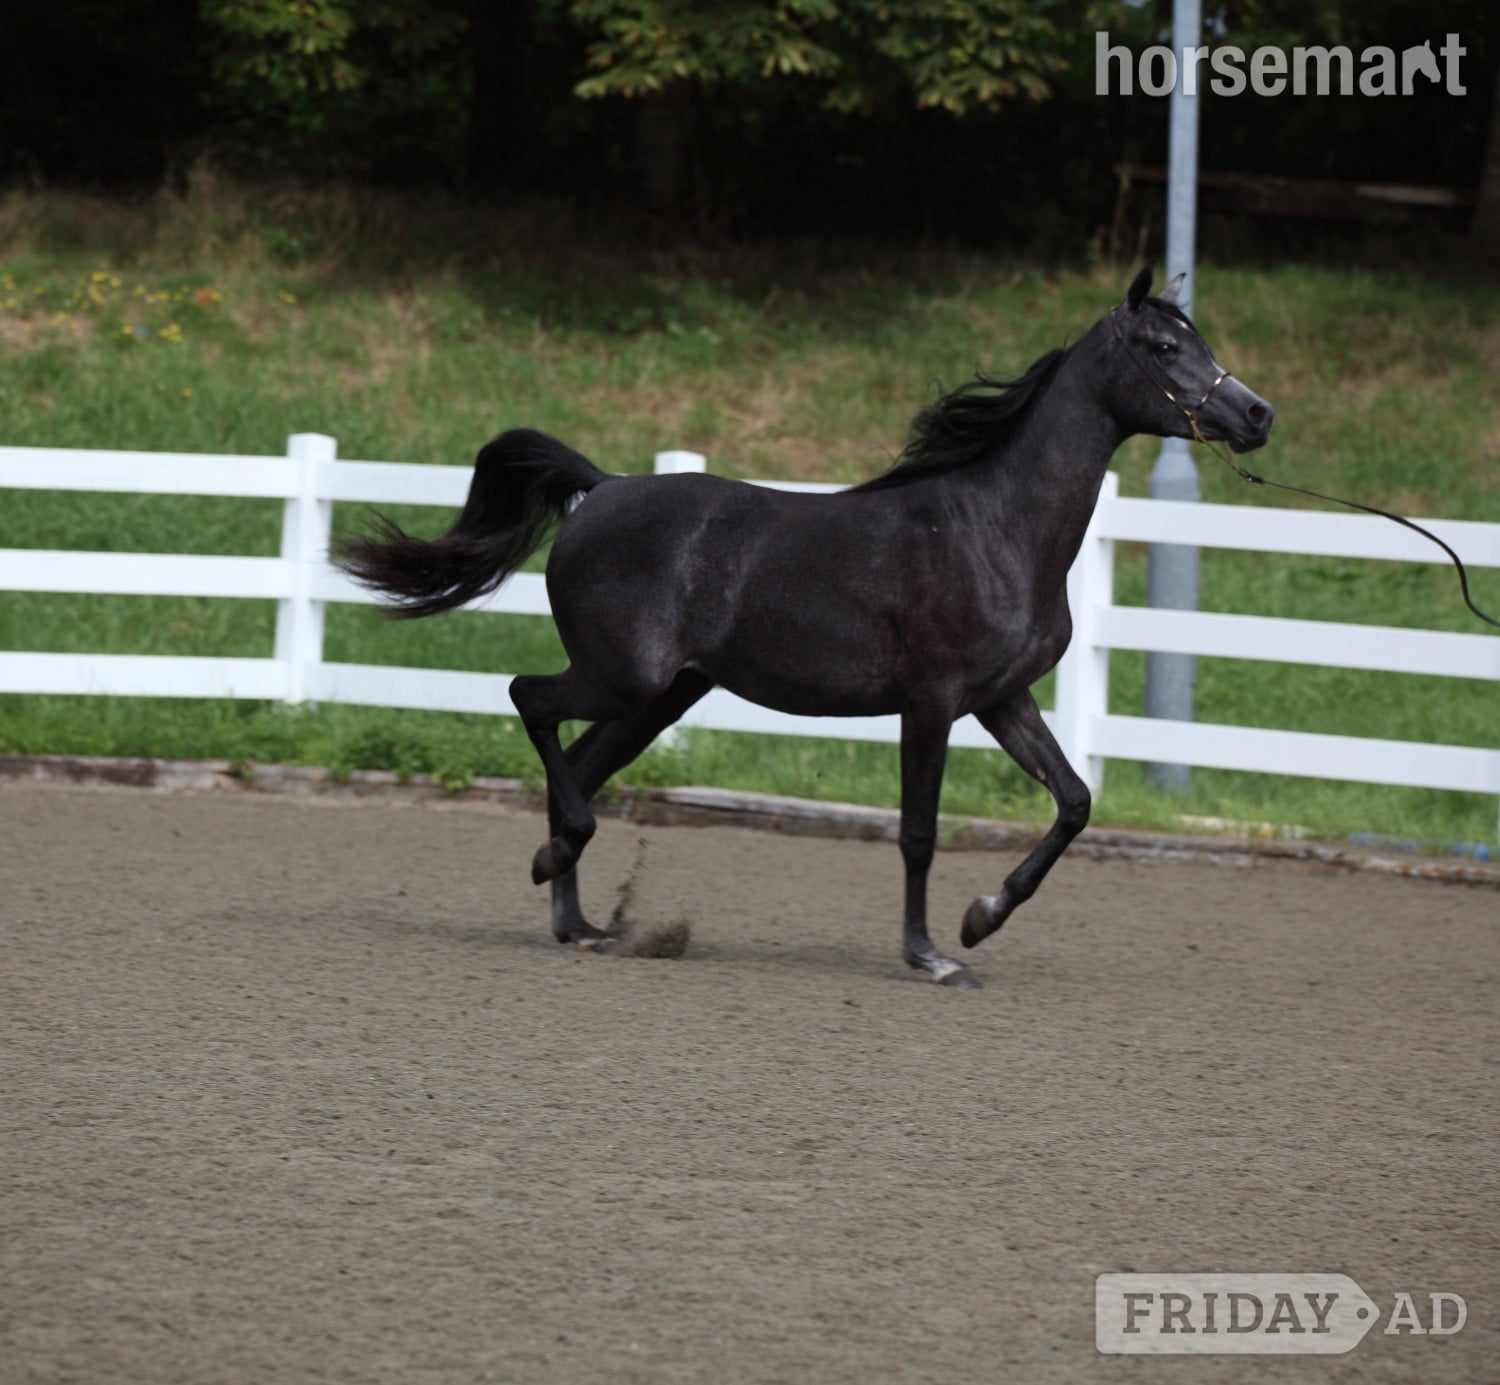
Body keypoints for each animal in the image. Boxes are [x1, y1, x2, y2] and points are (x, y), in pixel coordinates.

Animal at [335, 265, 1274, 987]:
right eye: (1164, 349)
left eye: (1197, 341)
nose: (1258, 414)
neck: (993, 527)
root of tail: (600, 489)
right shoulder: (932, 703)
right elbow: (919, 831)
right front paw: (931, 954)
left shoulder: (1002, 699)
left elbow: (1074, 801)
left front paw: (980, 918)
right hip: (622, 677)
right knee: (531, 701)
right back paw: (561, 866)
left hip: (658, 698)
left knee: (579, 762)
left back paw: (580, 916)